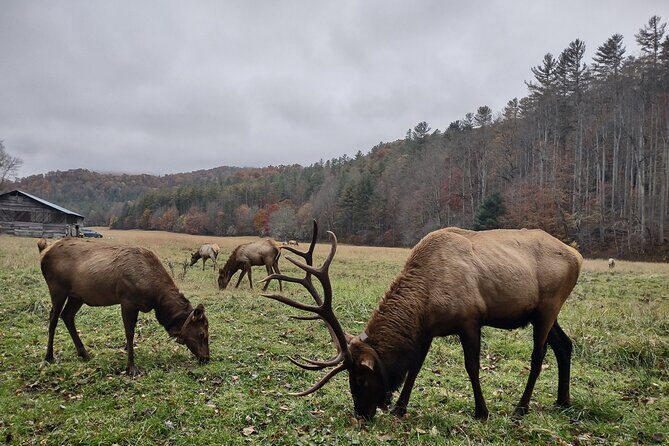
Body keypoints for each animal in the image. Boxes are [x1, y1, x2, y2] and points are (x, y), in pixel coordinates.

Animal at [38, 237, 210, 376]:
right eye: (201, 334)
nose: (207, 358)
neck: (155, 297)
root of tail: (44, 251)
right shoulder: (127, 300)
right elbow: (130, 333)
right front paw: (131, 367)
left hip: (77, 295)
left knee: (67, 315)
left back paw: (84, 353)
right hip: (57, 287)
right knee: (53, 318)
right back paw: (49, 356)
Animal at [260, 221, 582, 421]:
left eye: (360, 377)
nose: (361, 413)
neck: (424, 302)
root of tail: (577, 255)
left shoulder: (470, 318)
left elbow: (472, 367)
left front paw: (481, 411)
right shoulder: (427, 329)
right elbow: (414, 367)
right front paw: (400, 408)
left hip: (549, 306)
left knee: (539, 355)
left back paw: (521, 407)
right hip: (544, 312)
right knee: (564, 345)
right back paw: (563, 400)